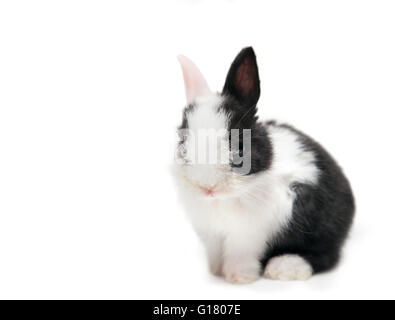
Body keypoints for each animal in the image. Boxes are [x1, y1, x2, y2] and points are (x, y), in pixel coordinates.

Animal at [173, 47, 356, 282]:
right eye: (182, 142)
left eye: (240, 146)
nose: (207, 187)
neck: (223, 200)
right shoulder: (212, 234)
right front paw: (215, 272)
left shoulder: (248, 236)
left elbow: (240, 256)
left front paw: (238, 278)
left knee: (326, 255)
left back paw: (284, 267)